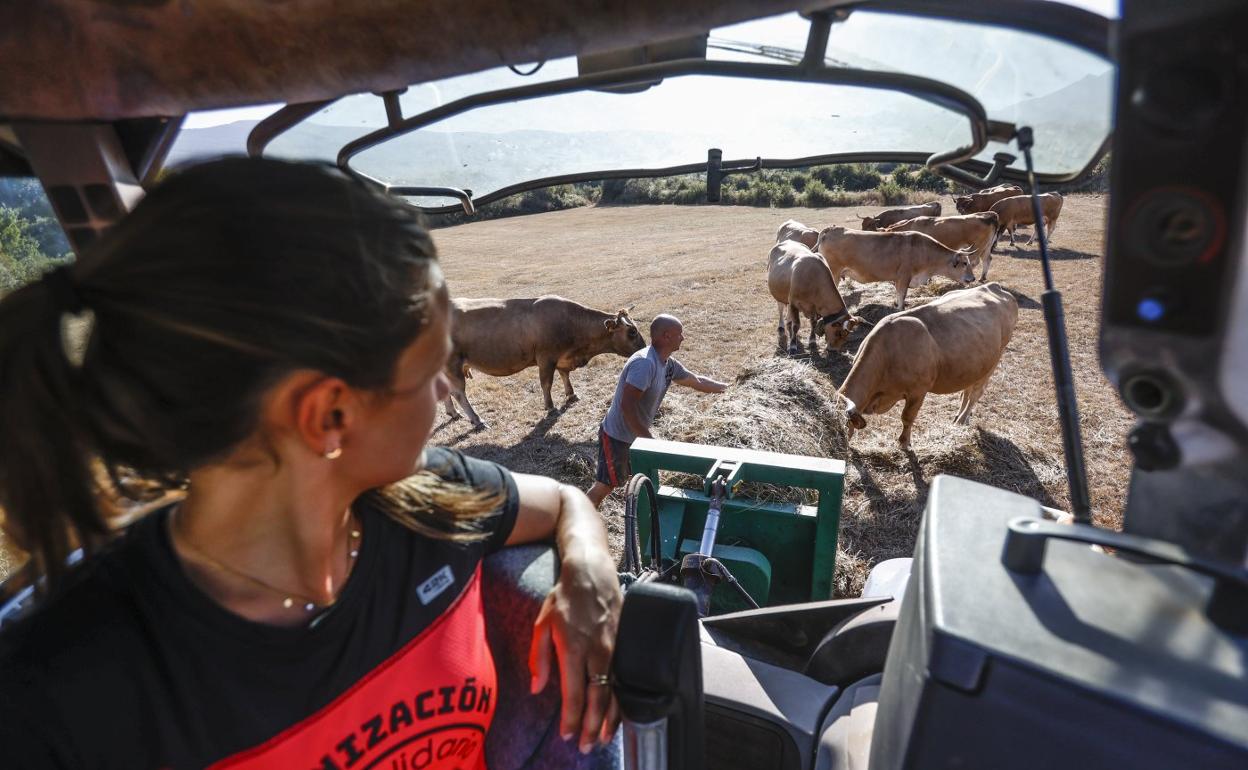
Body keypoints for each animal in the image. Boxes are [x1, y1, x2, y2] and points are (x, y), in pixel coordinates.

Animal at [446, 294, 643, 426]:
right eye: (632, 332)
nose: (643, 348)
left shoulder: (563, 357)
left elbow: (564, 375)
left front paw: (571, 394)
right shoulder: (546, 358)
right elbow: (546, 383)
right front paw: (550, 406)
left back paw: (454, 413)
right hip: (453, 365)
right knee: (458, 393)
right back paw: (477, 420)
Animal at [813, 222, 978, 309]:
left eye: (969, 263)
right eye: (964, 263)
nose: (973, 279)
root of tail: (831, 229)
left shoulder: (898, 278)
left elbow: (898, 293)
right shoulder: (905, 276)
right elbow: (902, 294)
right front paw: (900, 308)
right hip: (833, 272)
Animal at [838, 282, 1013, 449]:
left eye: (842, 427)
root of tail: (993, 286)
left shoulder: (918, 391)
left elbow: (907, 417)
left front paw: (904, 443)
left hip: (994, 361)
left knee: (975, 394)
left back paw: (961, 420)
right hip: (975, 366)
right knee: (967, 391)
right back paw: (961, 417)